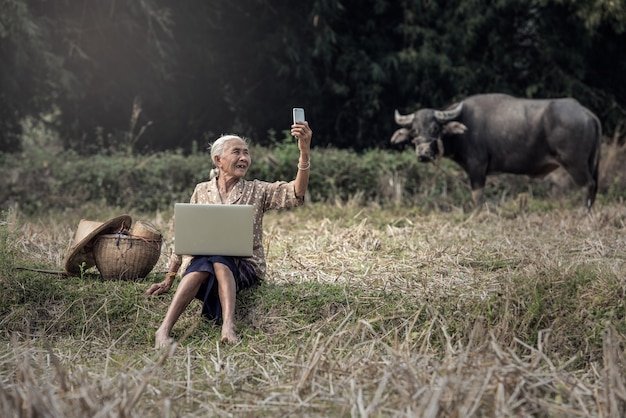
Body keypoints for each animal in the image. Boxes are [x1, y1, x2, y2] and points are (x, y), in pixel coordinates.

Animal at [390, 94, 600, 212]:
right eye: (414, 131)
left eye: (435, 128)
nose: (424, 153)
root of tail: (586, 113)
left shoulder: (477, 167)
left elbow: (477, 195)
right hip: (589, 162)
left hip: (574, 162)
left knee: (587, 185)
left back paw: (582, 213)